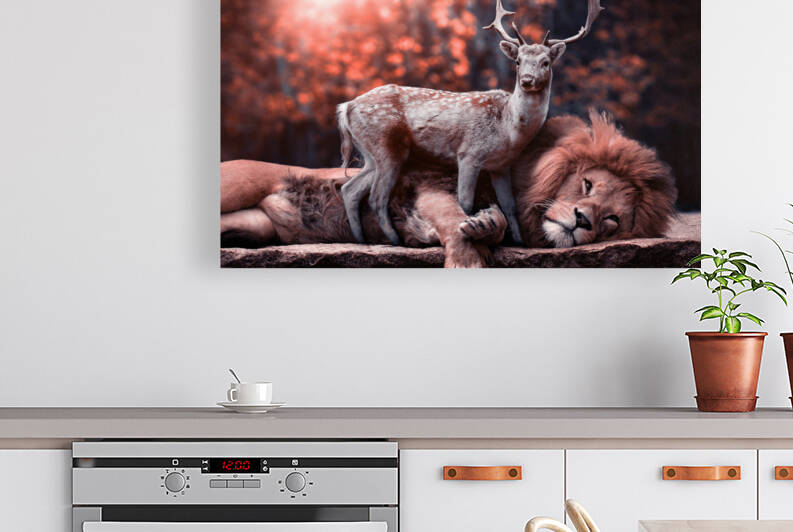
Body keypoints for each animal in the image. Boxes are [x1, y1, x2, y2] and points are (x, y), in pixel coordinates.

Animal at [220, 112, 678, 267]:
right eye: (586, 184)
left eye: (612, 220)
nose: (583, 220)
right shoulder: (431, 186)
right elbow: (454, 222)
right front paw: (467, 258)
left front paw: (487, 224)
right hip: (236, 185)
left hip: (258, 224)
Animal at [336, 0, 604, 247]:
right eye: (517, 61)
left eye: (545, 62)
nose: (527, 80)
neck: (509, 130)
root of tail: (346, 107)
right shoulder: (468, 154)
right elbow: (465, 201)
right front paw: (470, 232)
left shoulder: (501, 165)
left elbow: (509, 204)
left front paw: (518, 241)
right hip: (386, 145)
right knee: (376, 197)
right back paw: (395, 240)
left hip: (371, 154)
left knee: (350, 189)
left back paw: (361, 239)